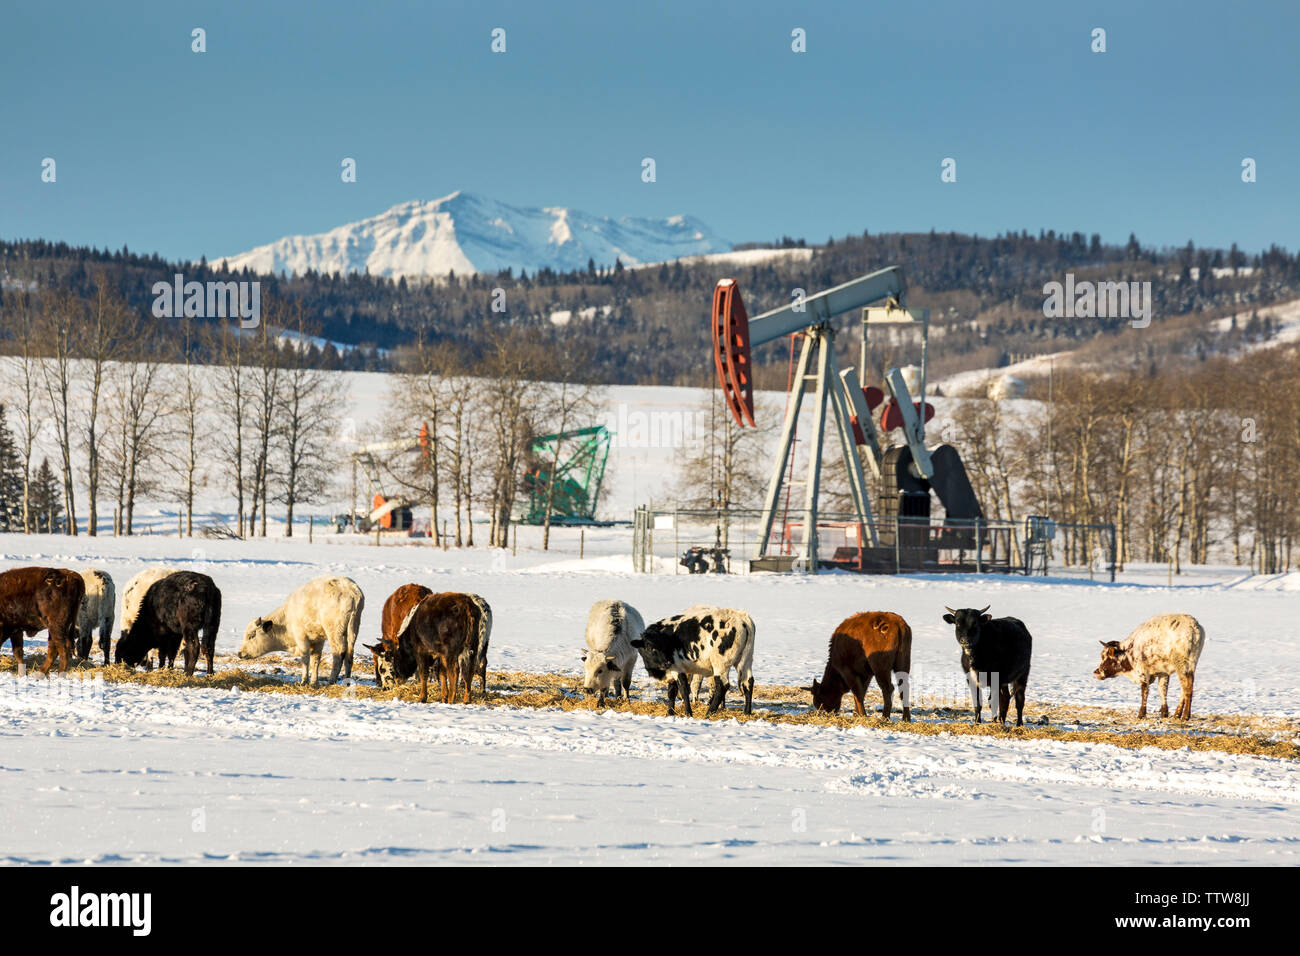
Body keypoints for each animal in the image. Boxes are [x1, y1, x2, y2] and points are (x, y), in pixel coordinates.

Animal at [626, 606, 754, 717]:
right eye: (649, 646)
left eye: (664, 645)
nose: (667, 662)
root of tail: (741, 617)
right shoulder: (671, 670)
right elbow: (671, 692)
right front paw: (670, 712)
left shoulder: (677, 668)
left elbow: (683, 689)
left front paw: (688, 713)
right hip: (746, 660)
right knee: (748, 682)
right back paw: (747, 712)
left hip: (721, 664)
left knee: (722, 686)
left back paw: (709, 712)